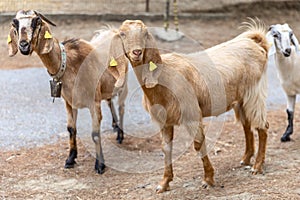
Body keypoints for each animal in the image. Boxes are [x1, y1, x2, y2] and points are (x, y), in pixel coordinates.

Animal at [6, 9, 126, 173]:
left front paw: (100, 165)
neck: (68, 64)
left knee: (121, 107)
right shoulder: (69, 102)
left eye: (37, 21)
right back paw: (114, 126)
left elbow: (95, 134)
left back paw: (120, 134)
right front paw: (70, 159)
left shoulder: (93, 102)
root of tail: (112, 31)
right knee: (109, 101)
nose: (24, 45)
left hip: (123, 84)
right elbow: (71, 129)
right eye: (15, 23)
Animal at [108, 19, 270, 193]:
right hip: (240, 98)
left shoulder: (191, 114)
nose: (137, 52)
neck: (164, 77)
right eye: (122, 34)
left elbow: (198, 144)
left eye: (145, 33)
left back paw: (257, 166)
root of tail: (256, 43)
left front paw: (208, 179)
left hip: (254, 92)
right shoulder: (164, 121)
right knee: (247, 125)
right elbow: (166, 148)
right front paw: (164, 183)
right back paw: (246, 159)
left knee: (262, 126)